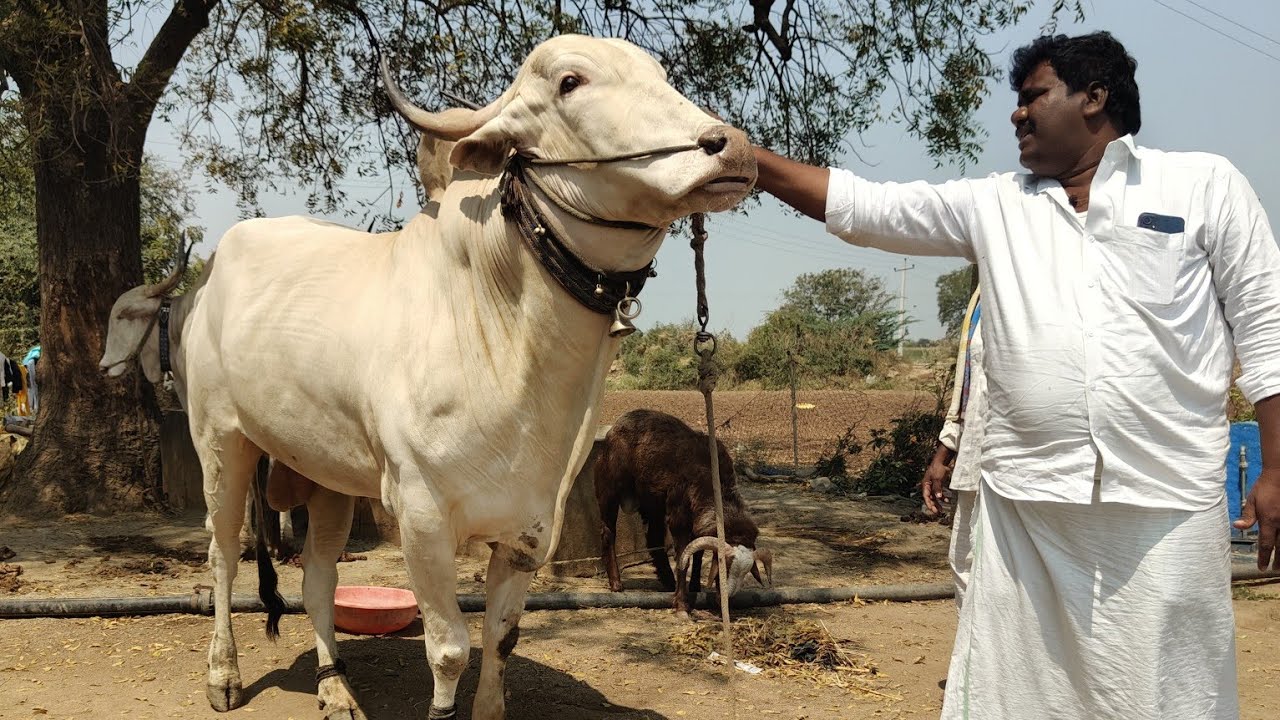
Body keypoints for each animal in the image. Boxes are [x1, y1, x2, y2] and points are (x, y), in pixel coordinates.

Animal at [180, 34, 755, 720]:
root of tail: (214, 271)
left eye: (661, 75)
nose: (732, 146)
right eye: (571, 82)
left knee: (319, 579)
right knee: (222, 555)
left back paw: (335, 688)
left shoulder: (532, 525)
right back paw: (223, 673)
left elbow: (501, 637)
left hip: (327, 476)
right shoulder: (421, 517)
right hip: (221, 443)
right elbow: (450, 648)